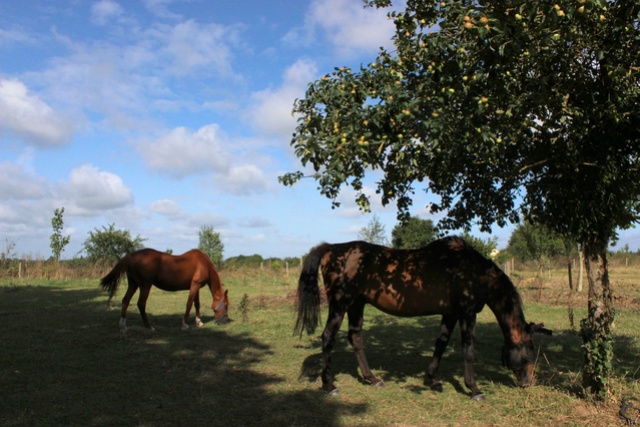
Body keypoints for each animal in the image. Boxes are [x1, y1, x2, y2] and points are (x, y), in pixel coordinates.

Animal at [100, 249, 230, 332]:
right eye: (226, 305)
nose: (225, 321)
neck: (203, 264)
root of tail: (131, 255)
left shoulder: (195, 286)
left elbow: (196, 304)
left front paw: (199, 322)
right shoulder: (194, 286)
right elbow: (189, 304)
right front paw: (185, 324)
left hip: (133, 284)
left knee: (125, 301)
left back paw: (123, 326)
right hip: (145, 285)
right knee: (141, 304)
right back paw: (149, 326)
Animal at [296, 237, 552, 402]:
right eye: (529, 348)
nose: (528, 381)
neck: (472, 271)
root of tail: (331, 249)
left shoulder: (450, 314)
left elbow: (441, 344)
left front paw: (432, 379)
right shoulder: (467, 314)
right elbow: (468, 350)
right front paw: (474, 389)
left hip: (357, 305)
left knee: (355, 338)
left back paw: (373, 379)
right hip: (340, 304)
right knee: (328, 337)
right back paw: (329, 385)